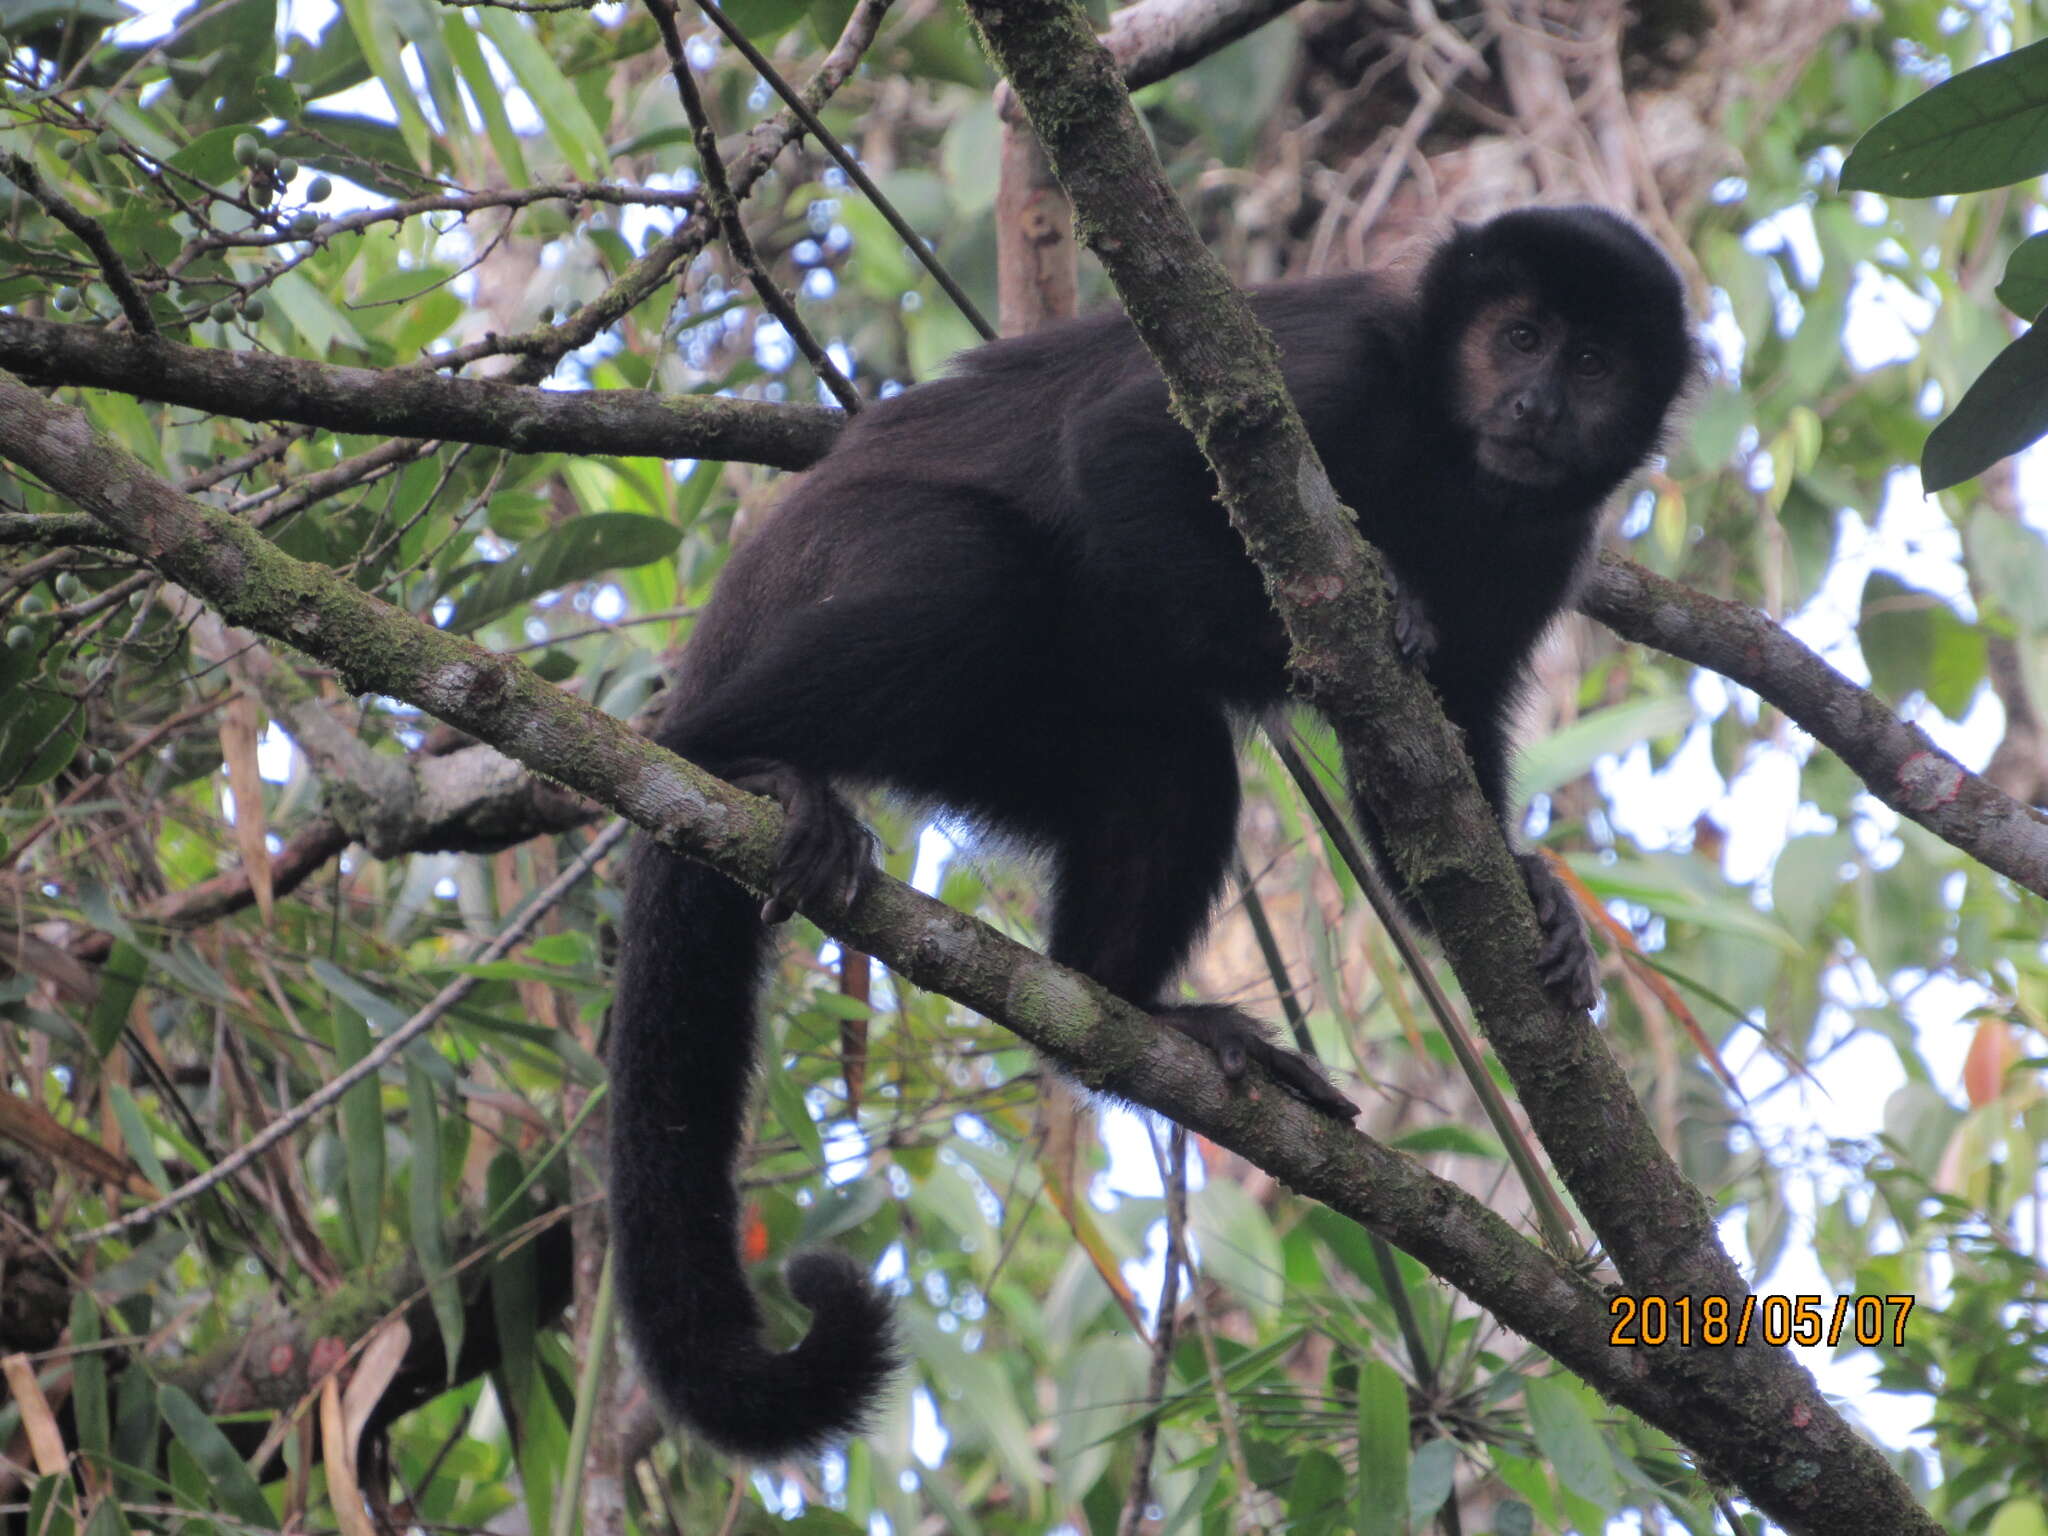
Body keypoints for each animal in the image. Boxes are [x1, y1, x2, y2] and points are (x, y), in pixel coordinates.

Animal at [606, 207, 1695, 1466]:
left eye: (1591, 363)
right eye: (1517, 336)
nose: (1532, 404)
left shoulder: (1551, 542)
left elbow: (1441, 773)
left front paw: (1529, 890)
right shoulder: (1335, 362)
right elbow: (1121, 448)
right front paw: (1366, 626)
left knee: (1171, 761)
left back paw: (1126, 1003)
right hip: (825, 560)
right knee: (963, 575)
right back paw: (736, 760)